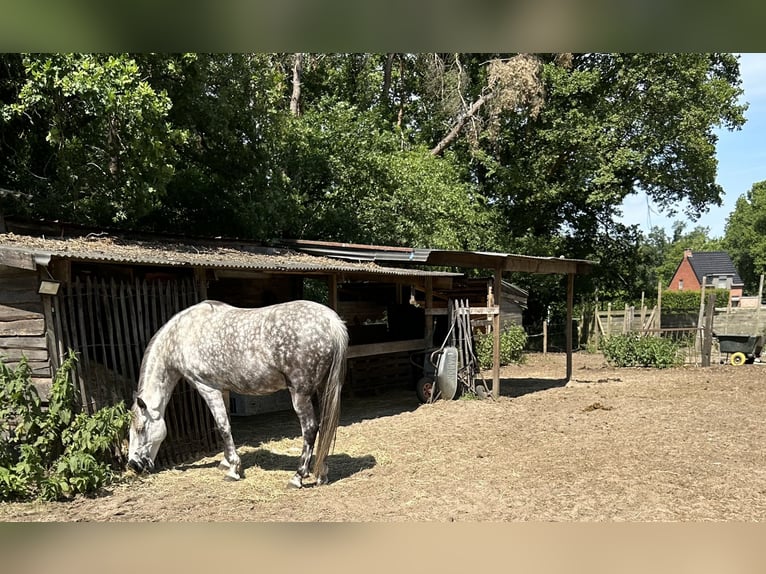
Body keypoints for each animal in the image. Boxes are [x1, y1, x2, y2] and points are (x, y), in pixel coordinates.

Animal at [127, 299, 348, 488]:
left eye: (140, 429)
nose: (133, 465)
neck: (183, 334)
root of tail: (331, 322)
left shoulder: (208, 388)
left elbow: (222, 427)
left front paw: (233, 469)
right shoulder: (223, 390)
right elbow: (226, 424)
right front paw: (226, 462)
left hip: (300, 393)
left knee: (310, 428)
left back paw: (297, 477)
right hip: (324, 388)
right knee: (325, 426)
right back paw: (321, 474)